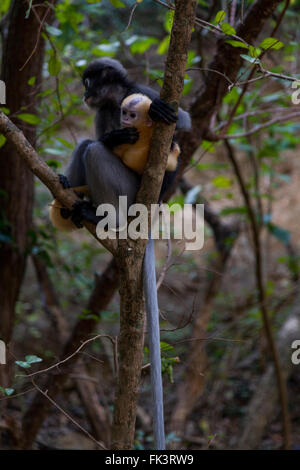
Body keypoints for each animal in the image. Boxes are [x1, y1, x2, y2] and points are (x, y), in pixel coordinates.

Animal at [49, 58, 190, 448]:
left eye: (88, 83)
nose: (84, 93)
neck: (115, 103)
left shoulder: (143, 92)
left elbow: (183, 120)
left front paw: (162, 118)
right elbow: (98, 137)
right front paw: (110, 138)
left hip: (129, 193)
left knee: (94, 152)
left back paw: (103, 217)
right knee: (88, 145)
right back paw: (73, 199)